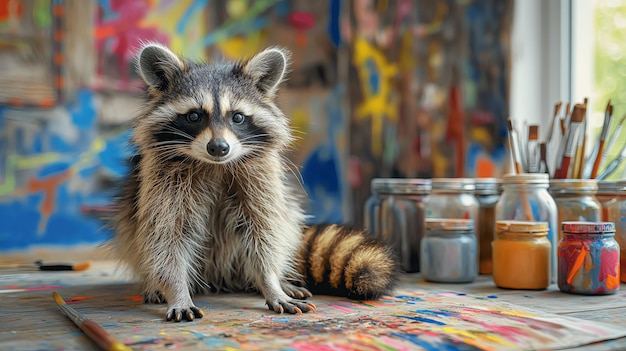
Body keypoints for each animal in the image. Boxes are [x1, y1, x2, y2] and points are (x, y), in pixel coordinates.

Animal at [111, 42, 394, 324]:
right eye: (194, 116)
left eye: (237, 117)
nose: (219, 147)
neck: (215, 165)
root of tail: (220, 278)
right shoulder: (164, 181)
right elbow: (167, 236)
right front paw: (176, 290)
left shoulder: (261, 177)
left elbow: (264, 231)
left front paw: (271, 282)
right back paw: (154, 284)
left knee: (284, 222)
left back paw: (275, 280)